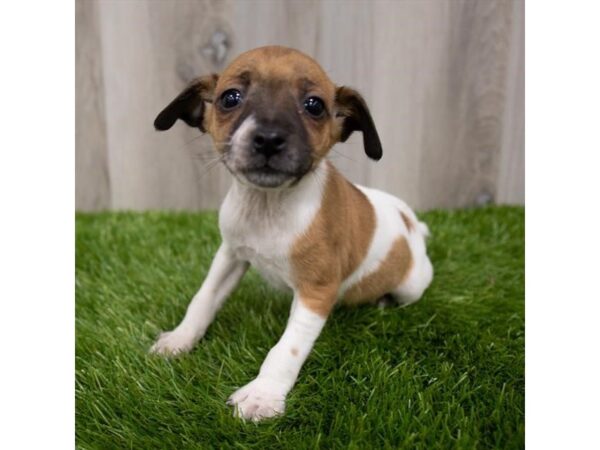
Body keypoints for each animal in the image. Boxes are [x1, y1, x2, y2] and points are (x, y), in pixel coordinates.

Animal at [149, 46, 432, 422]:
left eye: (314, 105)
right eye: (230, 98)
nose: (269, 138)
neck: (268, 207)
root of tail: (412, 222)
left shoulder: (317, 291)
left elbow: (287, 348)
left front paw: (263, 394)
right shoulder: (230, 255)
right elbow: (203, 299)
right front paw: (180, 339)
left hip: (411, 285)